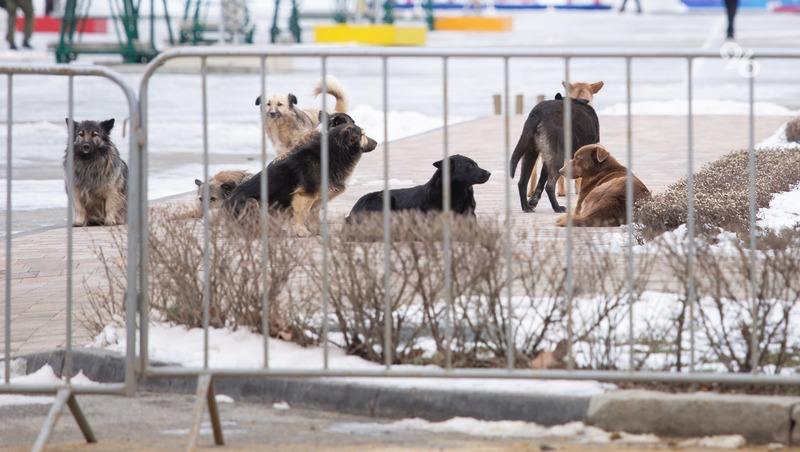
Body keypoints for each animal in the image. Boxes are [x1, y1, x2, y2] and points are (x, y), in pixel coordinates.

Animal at [223, 112, 376, 237]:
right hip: (252, 202)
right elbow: (301, 215)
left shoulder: (317, 197)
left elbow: (313, 216)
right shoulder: (305, 194)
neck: (334, 149)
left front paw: (316, 231)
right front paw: (302, 231)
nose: (376, 143)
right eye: (362, 134)